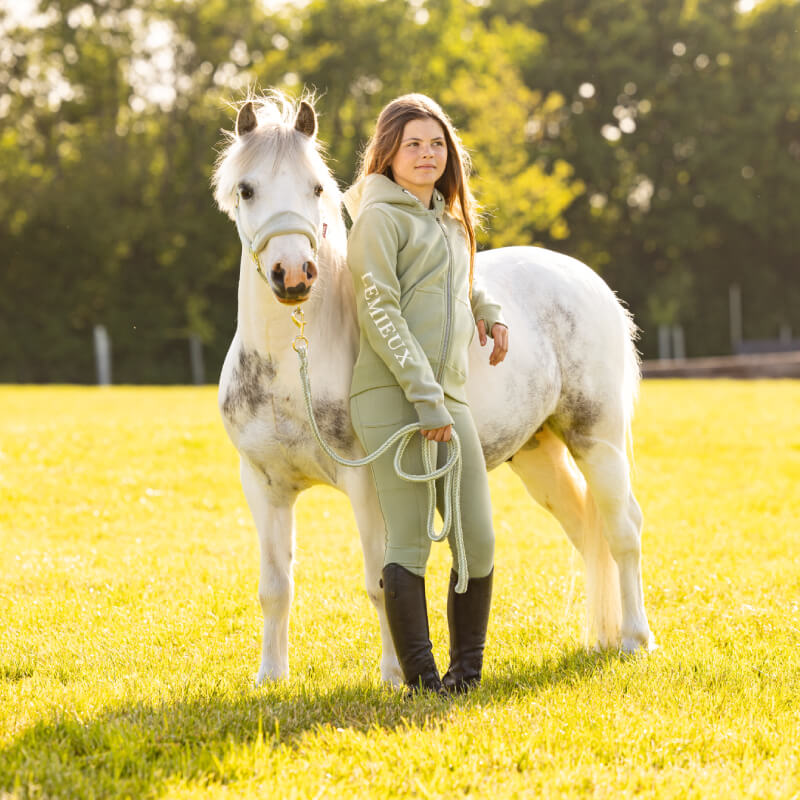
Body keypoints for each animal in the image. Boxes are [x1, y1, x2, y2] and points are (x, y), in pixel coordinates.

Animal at [211, 92, 655, 685]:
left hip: (597, 440)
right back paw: (604, 638)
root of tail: (588, 281)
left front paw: (393, 676)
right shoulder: (263, 486)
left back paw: (634, 639)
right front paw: (271, 677)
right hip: (538, 453)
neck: (295, 364)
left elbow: (380, 579)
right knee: (588, 530)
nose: (295, 275)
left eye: (316, 188)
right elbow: (275, 587)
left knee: (623, 529)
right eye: (247, 189)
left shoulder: (367, 485)